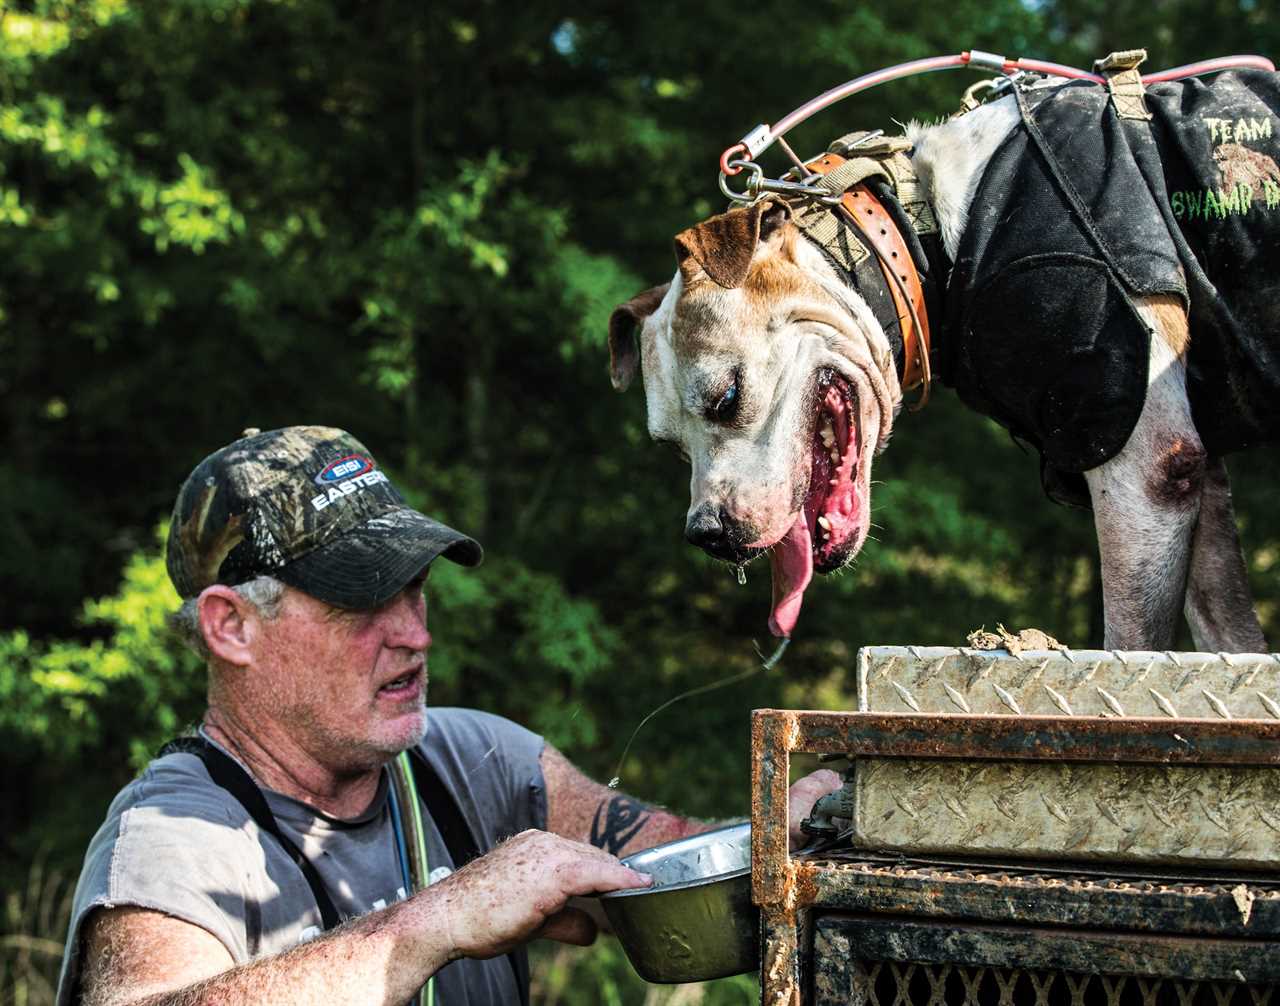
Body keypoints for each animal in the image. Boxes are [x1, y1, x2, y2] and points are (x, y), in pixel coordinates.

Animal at [604, 60, 1274, 650]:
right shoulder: (1200, 482)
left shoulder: (1146, 466)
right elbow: (1229, 639)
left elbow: (1132, 647)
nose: (708, 534)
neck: (924, 233)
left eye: (727, 397)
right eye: (670, 447)